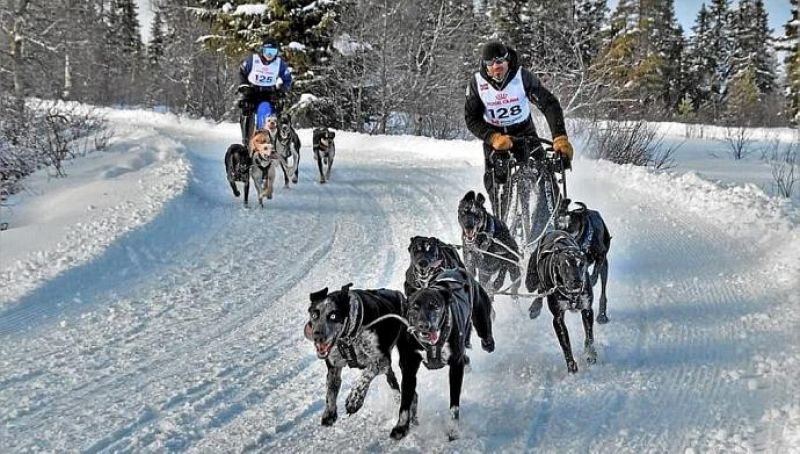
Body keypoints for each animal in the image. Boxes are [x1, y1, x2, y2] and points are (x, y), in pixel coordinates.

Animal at [304, 282, 410, 428]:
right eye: (314, 315)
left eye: (333, 316)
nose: (317, 337)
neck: (349, 337)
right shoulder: (334, 367)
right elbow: (330, 390)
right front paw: (329, 412)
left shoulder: (381, 360)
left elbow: (366, 374)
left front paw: (354, 399)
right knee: (392, 381)